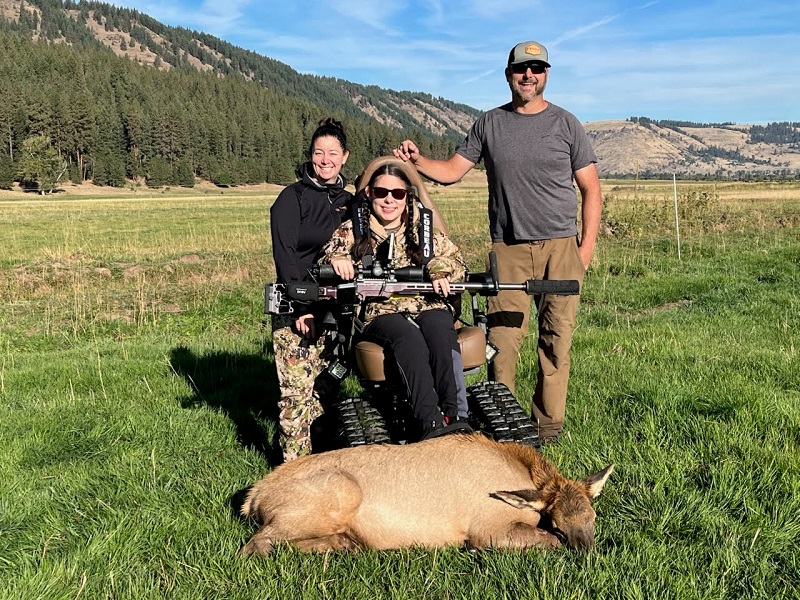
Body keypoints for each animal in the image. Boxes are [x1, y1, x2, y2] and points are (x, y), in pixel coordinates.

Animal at [238, 432, 612, 552]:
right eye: (557, 524)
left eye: (594, 517)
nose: (587, 551)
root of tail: (253, 497)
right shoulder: (487, 528)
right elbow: (546, 543)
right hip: (339, 491)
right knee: (257, 544)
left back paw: (346, 545)